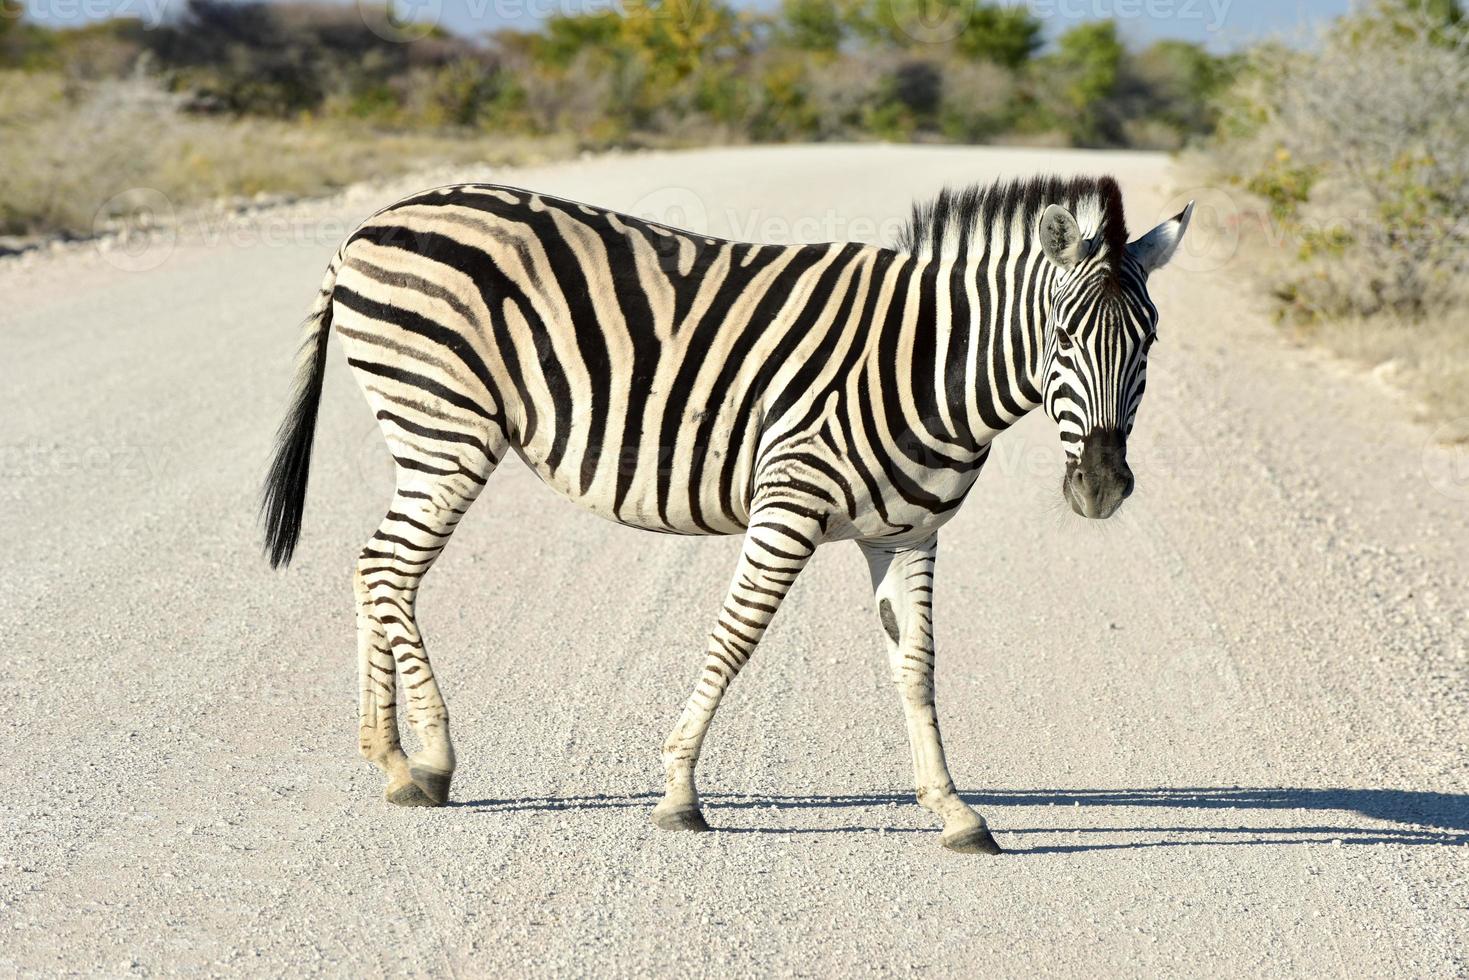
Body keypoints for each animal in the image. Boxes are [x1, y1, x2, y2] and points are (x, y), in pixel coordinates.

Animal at [258, 176, 1186, 858]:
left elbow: (916, 666)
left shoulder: (907, 533)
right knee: (387, 568)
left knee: (375, 568)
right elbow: (734, 639)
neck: (929, 367)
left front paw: (954, 811)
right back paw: (433, 761)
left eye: (1147, 343)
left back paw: (390, 759)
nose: (1101, 489)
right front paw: (678, 793)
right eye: (1060, 338)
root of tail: (377, 220)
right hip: (446, 423)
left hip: (427, 432)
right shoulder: (790, 500)